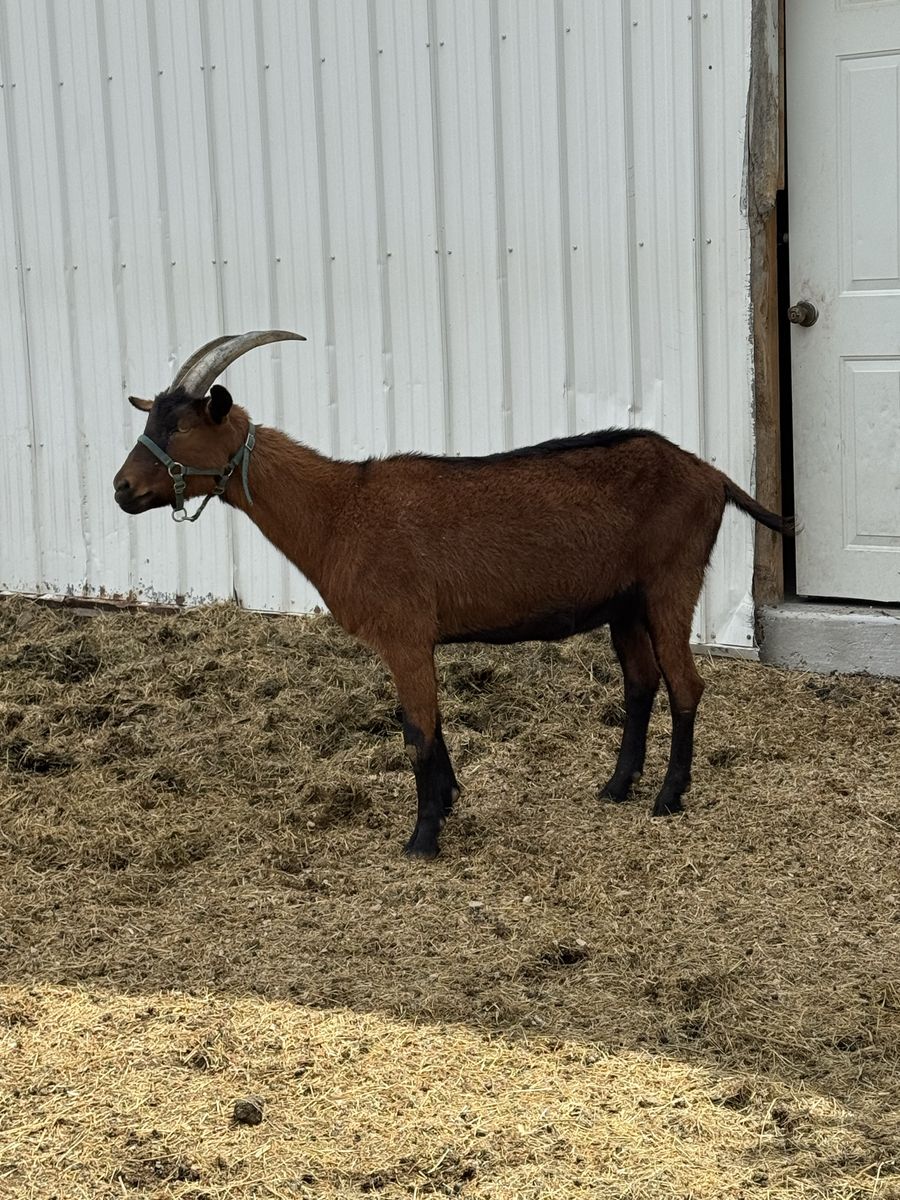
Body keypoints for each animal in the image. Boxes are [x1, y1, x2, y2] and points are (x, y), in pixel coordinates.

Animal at [114, 330, 793, 858]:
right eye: (149, 419)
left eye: (180, 427)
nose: (121, 489)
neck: (341, 510)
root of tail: (711, 476)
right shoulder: (415, 640)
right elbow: (427, 725)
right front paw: (445, 805)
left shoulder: (405, 634)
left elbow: (418, 729)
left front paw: (422, 838)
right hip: (624, 602)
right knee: (641, 682)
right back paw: (616, 787)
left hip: (671, 581)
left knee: (685, 683)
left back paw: (668, 797)